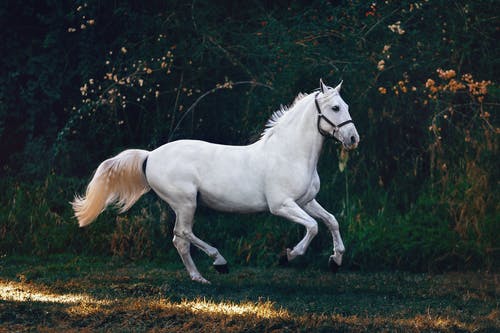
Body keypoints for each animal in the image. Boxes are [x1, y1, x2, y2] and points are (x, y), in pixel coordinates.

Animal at [71, 78, 360, 282]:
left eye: (347, 106)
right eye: (335, 108)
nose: (353, 138)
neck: (289, 154)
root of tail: (150, 156)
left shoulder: (306, 201)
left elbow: (331, 221)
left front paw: (335, 261)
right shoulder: (281, 205)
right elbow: (313, 226)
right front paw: (288, 256)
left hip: (184, 205)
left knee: (179, 240)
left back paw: (199, 277)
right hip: (186, 202)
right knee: (183, 233)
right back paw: (219, 262)